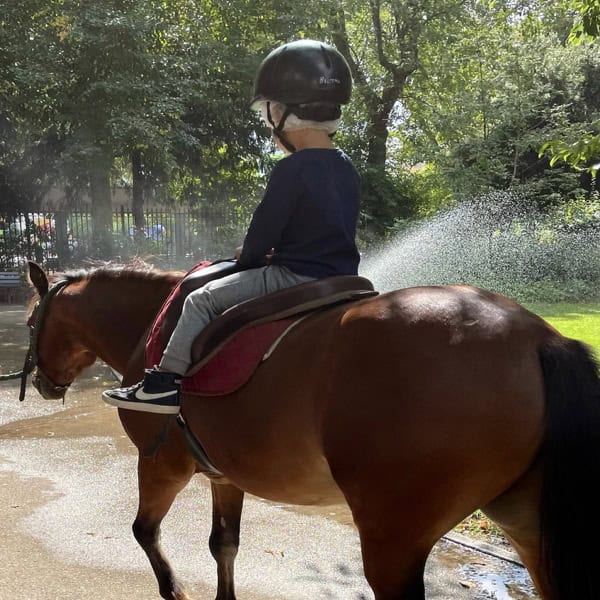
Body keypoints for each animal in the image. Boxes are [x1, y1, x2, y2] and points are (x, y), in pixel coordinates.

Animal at [24, 260, 600, 600]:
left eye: (31, 322)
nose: (44, 384)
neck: (154, 324)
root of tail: (537, 337)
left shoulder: (161, 464)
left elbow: (145, 533)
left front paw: (176, 590)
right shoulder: (223, 477)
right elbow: (223, 545)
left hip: (393, 542)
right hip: (527, 525)